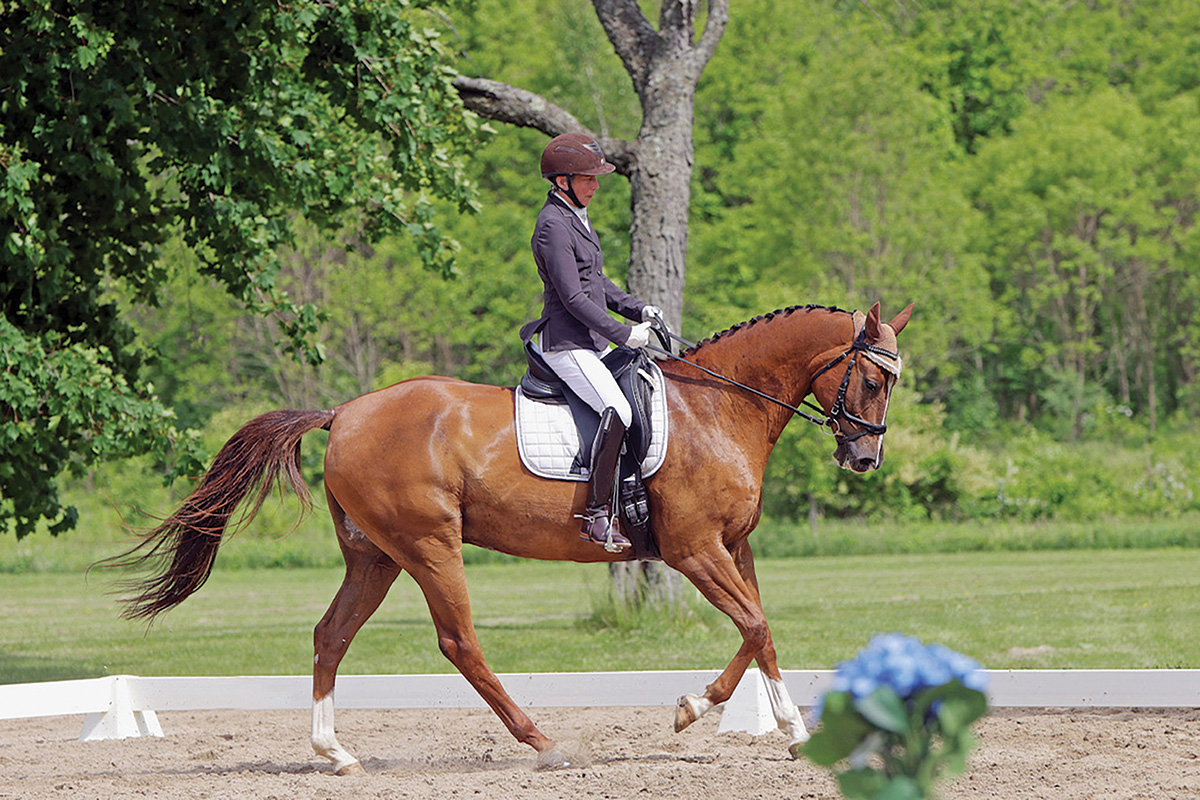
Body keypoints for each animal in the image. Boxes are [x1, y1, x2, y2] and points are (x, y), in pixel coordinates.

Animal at [114, 298, 916, 767]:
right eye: (874, 381)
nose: (865, 458)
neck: (716, 408)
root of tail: (343, 413)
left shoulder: (733, 546)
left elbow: (761, 632)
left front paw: (792, 730)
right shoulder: (693, 551)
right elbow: (753, 625)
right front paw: (697, 711)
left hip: (375, 557)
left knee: (330, 635)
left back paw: (333, 751)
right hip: (430, 546)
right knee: (458, 641)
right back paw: (541, 741)